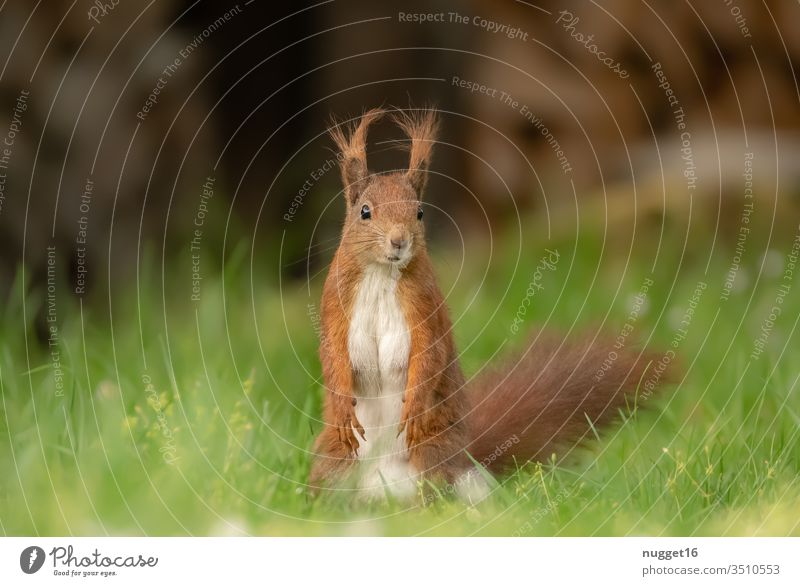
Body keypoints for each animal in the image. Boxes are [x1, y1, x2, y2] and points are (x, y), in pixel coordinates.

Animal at [306, 107, 656, 500]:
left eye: (420, 212)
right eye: (365, 212)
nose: (399, 241)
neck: (382, 274)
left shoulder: (426, 307)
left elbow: (429, 355)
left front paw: (413, 409)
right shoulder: (335, 305)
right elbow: (333, 356)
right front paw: (342, 406)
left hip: (433, 454)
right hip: (336, 459)